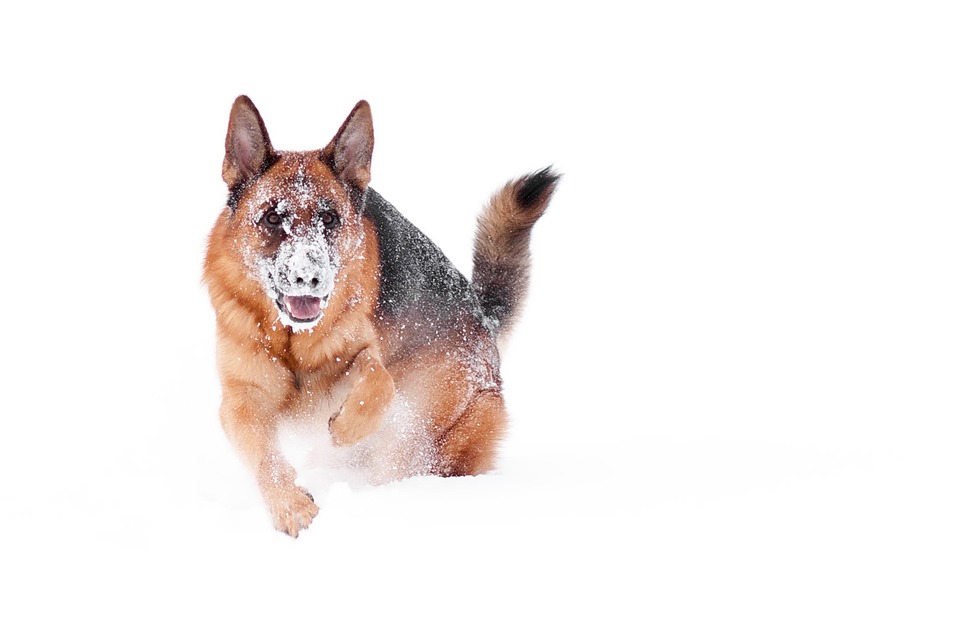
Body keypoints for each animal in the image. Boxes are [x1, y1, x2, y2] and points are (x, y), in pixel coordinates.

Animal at [206, 97, 560, 540]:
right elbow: (266, 458)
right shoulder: (241, 401)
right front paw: (291, 507)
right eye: (272, 218)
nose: (309, 278)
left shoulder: (358, 360)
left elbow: (379, 381)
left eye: (330, 219)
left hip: (423, 432)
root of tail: (483, 318)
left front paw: (346, 428)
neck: (293, 340)